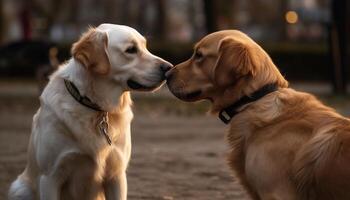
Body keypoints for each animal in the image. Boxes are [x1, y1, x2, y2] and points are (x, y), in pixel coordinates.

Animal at [8, 23, 172, 200]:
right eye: (131, 50)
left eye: (145, 46)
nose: (169, 68)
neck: (97, 107)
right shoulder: (50, 177)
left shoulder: (117, 175)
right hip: (19, 189)